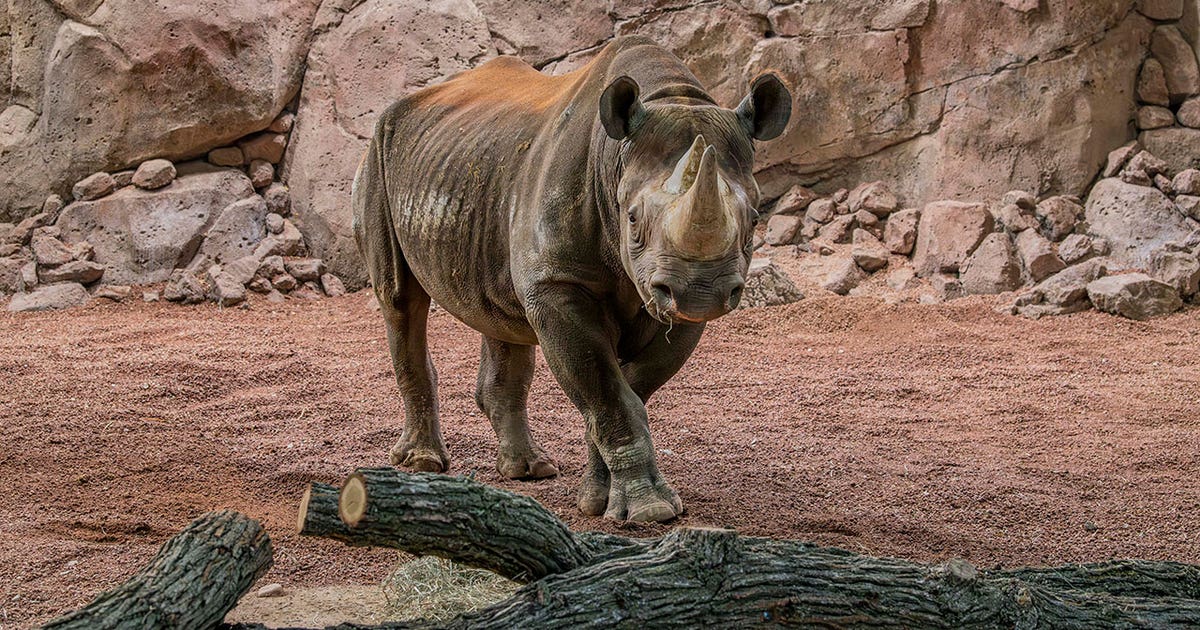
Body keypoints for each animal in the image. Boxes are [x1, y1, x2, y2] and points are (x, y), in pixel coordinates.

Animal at [352, 36, 790, 522]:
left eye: (754, 221)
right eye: (632, 219)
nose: (701, 291)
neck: (615, 156)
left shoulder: (669, 302)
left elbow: (628, 391)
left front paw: (600, 500)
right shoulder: (558, 284)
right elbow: (608, 393)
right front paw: (650, 511)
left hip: (481, 171)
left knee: (500, 313)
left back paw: (529, 470)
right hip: (380, 151)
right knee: (400, 298)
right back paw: (424, 463)